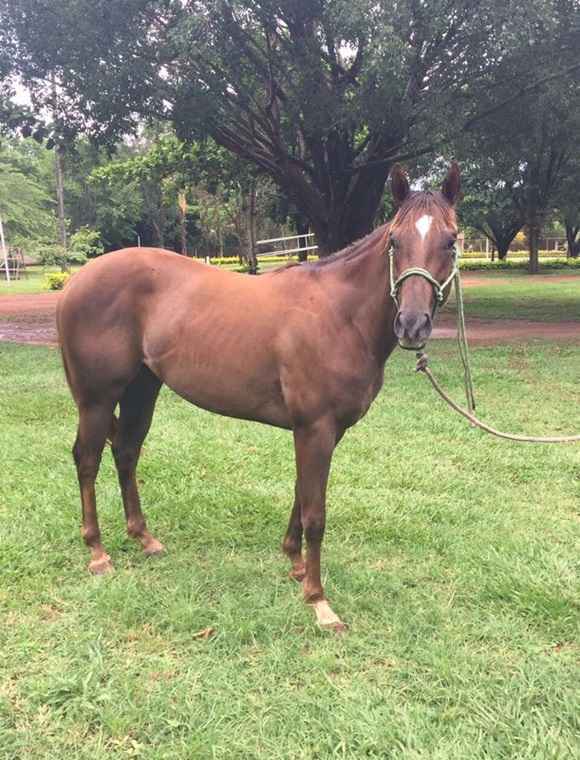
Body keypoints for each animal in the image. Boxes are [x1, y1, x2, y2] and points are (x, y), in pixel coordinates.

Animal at [56, 162, 460, 628]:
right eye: (395, 240)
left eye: (451, 241)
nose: (412, 324)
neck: (340, 315)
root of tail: (75, 281)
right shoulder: (315, 428)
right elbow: (315, 512)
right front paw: (318, 600)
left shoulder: (323, 431)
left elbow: (301, 495)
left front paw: (295, 564)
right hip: (97, 399)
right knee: (87, 460)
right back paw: (98, 552)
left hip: (142, 388)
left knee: (125, 452)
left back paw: (144, 538)